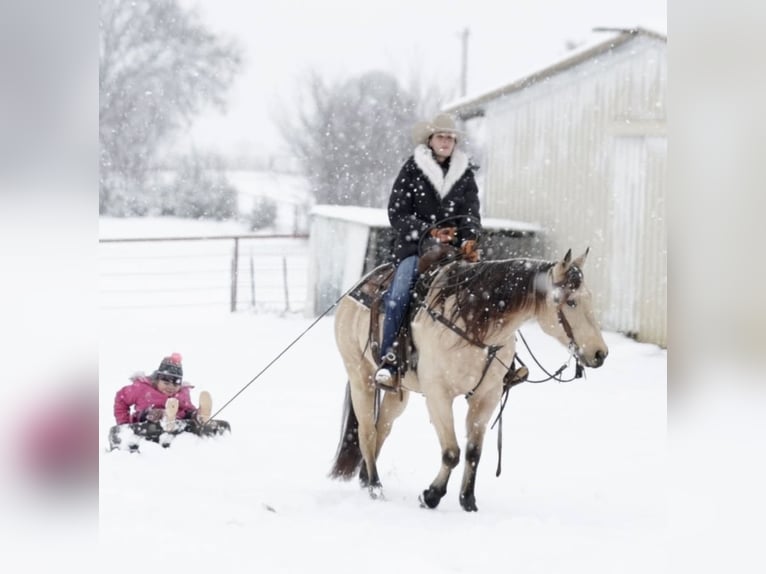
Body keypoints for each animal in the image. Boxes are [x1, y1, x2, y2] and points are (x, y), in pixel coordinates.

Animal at [332, 248, 608, 512]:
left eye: (589, 298)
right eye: (571, 302)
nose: (600, 353)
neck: (473, 323)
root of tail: (359, 285)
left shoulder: (487, 396)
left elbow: (474, 451)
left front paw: (468, 500)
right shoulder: (438, 395)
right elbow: (451, 452)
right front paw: (431, 496)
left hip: (399, 392)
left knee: (382, 428)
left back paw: (366, 479)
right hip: (360, 377)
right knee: (366, 431)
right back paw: (375, 487)